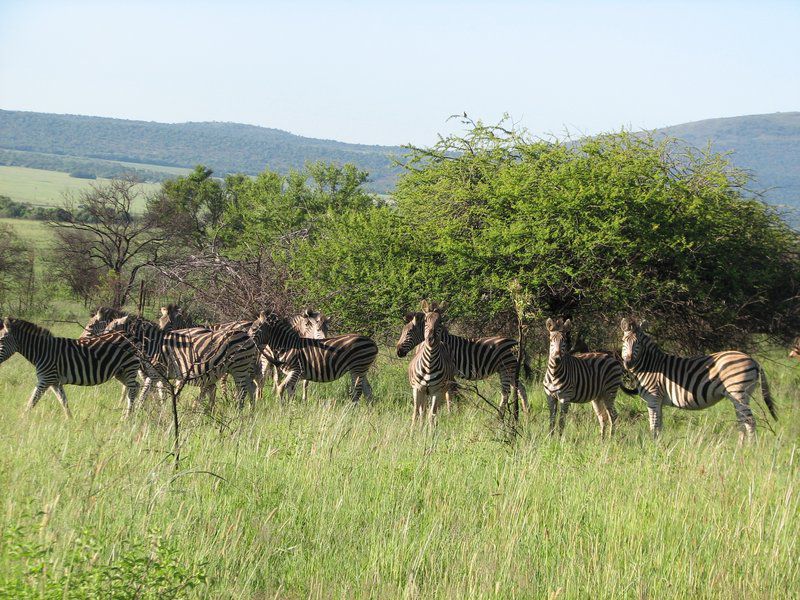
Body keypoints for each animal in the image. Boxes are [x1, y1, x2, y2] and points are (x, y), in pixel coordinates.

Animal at [0, 318, 141, 418]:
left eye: (1, 340)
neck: (42, 351)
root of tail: (132, 336)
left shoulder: (46, 379)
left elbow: (32, 401)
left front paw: (21, 421)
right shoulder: (54, 382)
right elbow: (63, 402)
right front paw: (70, 420)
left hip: (129, 367)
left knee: (132, 389)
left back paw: (127, 417)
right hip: (120, 372)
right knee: (136, 386)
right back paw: (131, 413)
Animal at [103, 316, 258, 410]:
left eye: (108, 331)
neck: (152, 344)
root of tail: (248, 336)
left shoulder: (154, 373)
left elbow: (144, 394)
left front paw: (138, 413)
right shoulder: (161, 376)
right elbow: (162, 394)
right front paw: (164, 410)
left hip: (238, 367)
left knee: (242, 391)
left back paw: (238, 412)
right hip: (243, 369)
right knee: (251, 388)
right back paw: (251, 413)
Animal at [248, 310, 376, 404]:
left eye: (254, 329)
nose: (245, 341)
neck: (287, 345)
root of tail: (372, 342)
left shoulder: (296, 371)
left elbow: (281, 389)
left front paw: (282, 409)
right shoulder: (294, 374)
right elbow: (289, 391)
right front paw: (290, 408)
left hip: (358, 368)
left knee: (358, 392)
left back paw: (351, 411)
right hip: (360, 369)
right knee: (368, 391)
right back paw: (367, 413)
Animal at [396, 310, 532, 412]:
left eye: (408, 332)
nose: (398, 352)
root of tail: (517, 342)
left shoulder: (449, 372)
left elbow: (449, 393)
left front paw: (450, 413)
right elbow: (451, 392)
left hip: (507, 368)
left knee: (507, 393)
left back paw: (501, 415)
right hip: (511, 369)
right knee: (521, 389)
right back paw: (526, 415)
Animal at [620, 318, 776, 440]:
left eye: (639, 343)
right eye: (623, 341)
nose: (628, 363)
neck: (650, 365)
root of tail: (753, 361)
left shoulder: (653, 398)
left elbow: (654, 426)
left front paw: (654, 445)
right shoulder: (658, 401)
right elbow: (659, 426)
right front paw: (659, 444)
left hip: (739, 392)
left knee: (749, 421)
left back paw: (750, 448)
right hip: (739, 396)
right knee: (742, 421)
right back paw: (740, 448)